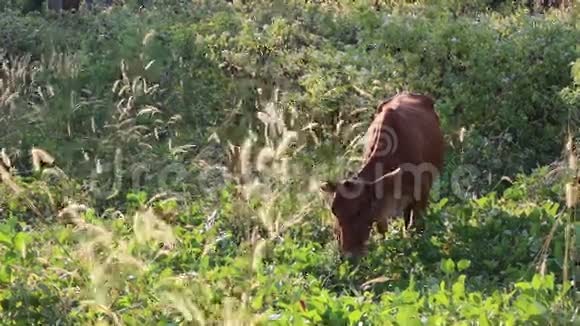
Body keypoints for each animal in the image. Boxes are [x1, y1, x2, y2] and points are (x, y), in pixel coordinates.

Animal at [322, 91, 444, 258]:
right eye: (334, 212)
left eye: (359, 212)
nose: (348, 254)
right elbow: (382, 229)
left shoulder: (422, 192)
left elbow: (417, 225)